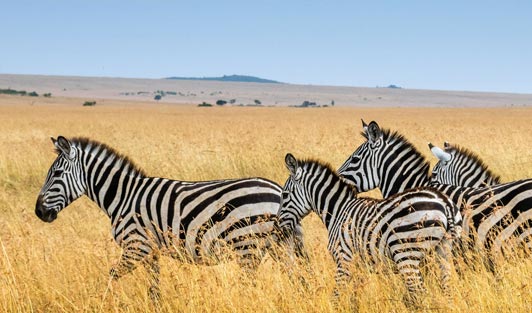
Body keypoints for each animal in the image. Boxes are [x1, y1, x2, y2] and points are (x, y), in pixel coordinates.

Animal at [35, 135, 306, 302]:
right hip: (279, 246)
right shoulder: (150, 251)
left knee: (252, 284)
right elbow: (154, 288)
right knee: (297, 279)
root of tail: (277, 190)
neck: (123, 196)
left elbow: (111, 276)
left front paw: (103, 302)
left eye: (56, 173)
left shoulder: (136, 246)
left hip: (247, 245)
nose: (39, 212)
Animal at [278, 152, 458, 302]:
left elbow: (337, 295)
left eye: (285, 195)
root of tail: (443, 202)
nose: (278, 225)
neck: (338, 210)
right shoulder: (359, 265)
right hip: (443, 252)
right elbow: (354, 296)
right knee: (447, 290)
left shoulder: (344, 259)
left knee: (420, 292)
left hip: (406, 254)